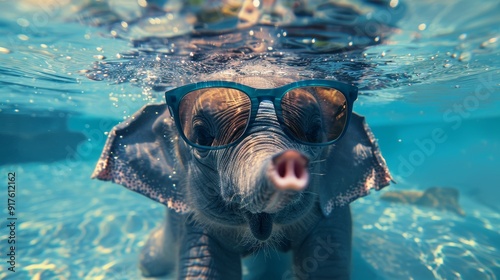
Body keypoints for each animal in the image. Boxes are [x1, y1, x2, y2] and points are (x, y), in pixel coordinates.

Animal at [92, 75, 392, 278]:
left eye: (314, 132)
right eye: (201, 136)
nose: (289, 161)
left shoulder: (330, 209)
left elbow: (326, 267)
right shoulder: (192, 220)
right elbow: (206, 270)